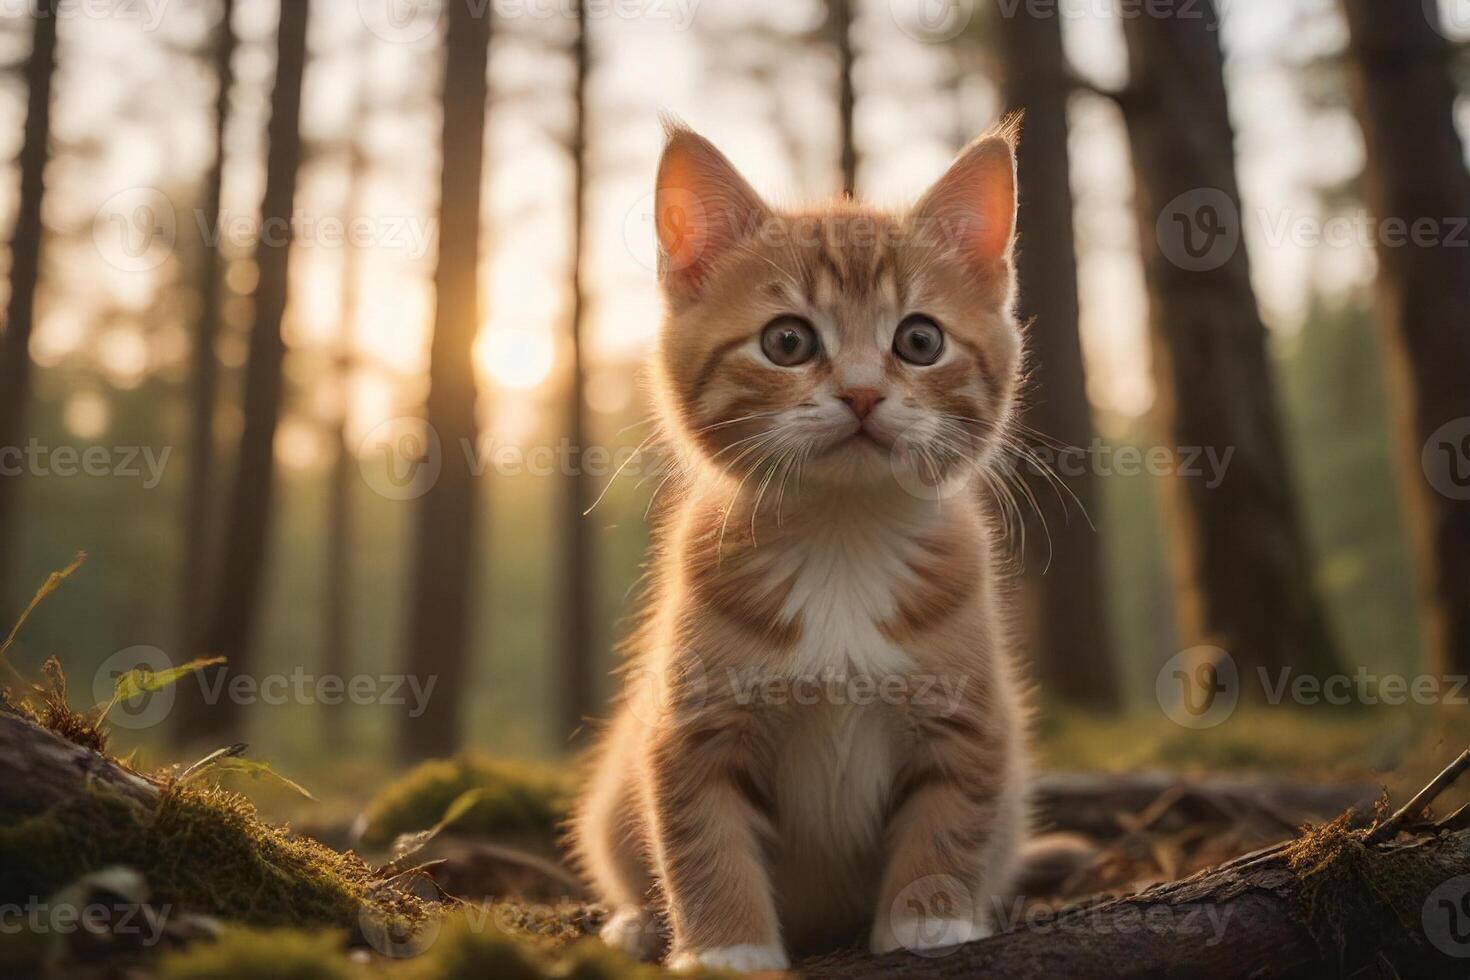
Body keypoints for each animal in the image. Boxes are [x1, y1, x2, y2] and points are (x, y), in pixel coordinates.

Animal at [567, 116, 1029, 975]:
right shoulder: (693, 722)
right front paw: (728, 947)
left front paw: (930, 921)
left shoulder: (970, 716)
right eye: (787, 341)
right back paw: (637, 923)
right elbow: (700, 838)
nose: (862, 393)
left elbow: (952, 818)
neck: (841, 538)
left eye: (920, 340)